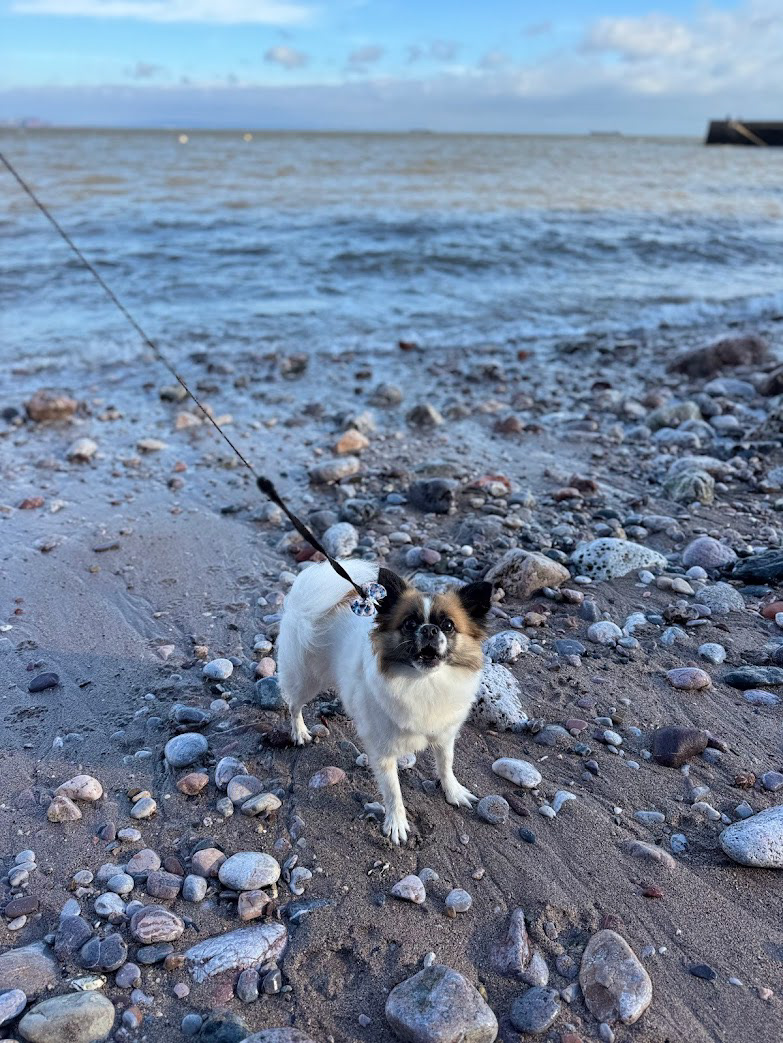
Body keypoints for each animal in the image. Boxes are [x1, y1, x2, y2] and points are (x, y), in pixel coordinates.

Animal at [277, 558, 492, 844]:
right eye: (410, 624)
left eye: (448, 626)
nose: (429, 629)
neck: (423, 682)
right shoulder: (383, 751)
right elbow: (393, 791)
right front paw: (396, 822)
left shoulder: (444, 735)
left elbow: (446, 765)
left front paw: (453, 791)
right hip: (306, 679)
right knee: (294, 705)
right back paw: (299, 731)